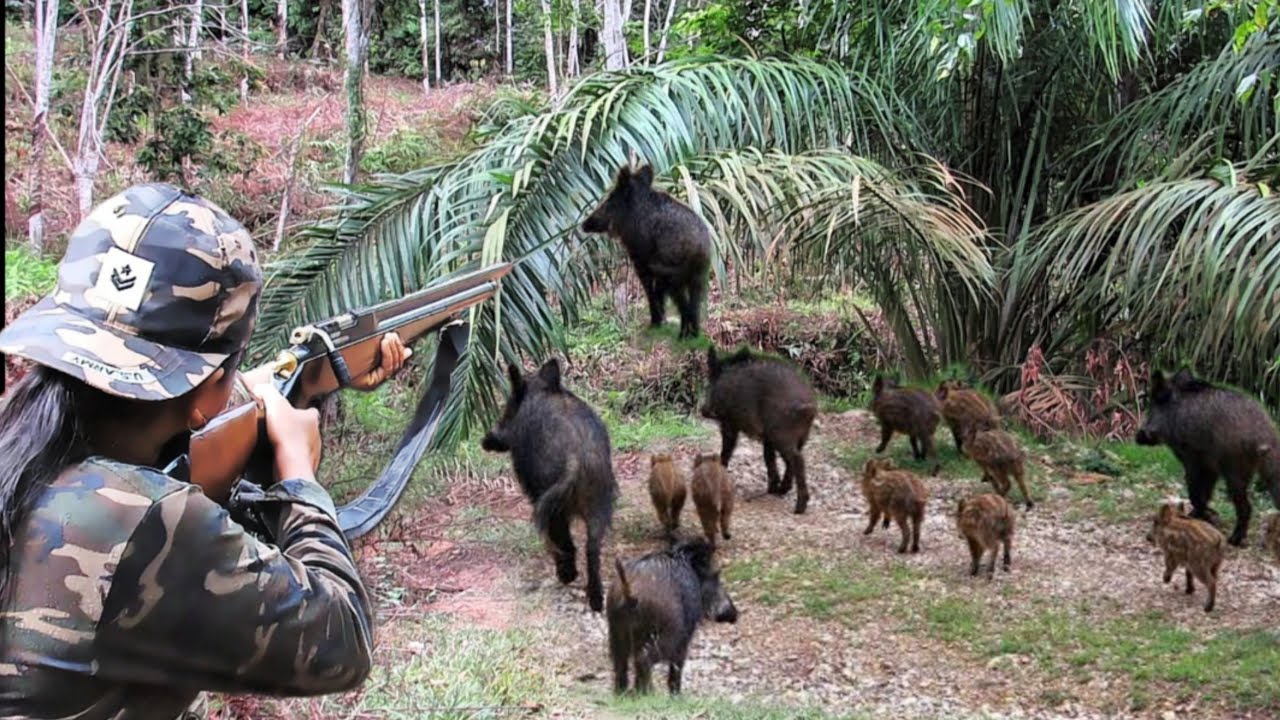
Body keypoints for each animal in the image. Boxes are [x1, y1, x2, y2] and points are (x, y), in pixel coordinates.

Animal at [481, 358, 617, 612]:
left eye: (508, 408)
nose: (484, 440)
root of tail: (576, 457)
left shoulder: (531, 486)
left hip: (551, 500)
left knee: (563, 539)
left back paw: (566, 577)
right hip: (600, 501)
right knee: (592, 548)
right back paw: (596, 601)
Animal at [581, 162, 713, 339]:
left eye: (610, 200)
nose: (584, 224)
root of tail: (699, 248)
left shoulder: (640, 260)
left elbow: (650, 291)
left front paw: (655, 324)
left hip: (674, 275)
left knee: (683, 305)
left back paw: (682, 336)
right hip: (699, 276)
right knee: (694, 306)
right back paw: (694, 334)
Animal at [607, 539, 739, 695]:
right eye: (716, 574)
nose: (734, 614)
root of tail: (629, 592)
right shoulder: (685, 637)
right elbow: (677, 667)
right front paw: (676, 696)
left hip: (616, 634)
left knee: (621, 666)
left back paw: (625, 693)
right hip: (668, 635)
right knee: (643, 659)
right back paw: (648, 693)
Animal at [699, 345, 818, 514]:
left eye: (710, 381)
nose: (703, 410)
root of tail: (807, 407)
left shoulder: (729, 422)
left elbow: (727, 450)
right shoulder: (766, 438)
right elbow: (768, 458)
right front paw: (772, 488)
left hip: (781, 435)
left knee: (797, 460)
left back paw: (798, 508)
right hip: (798, 437)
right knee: (792, 461)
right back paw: (781, 491)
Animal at [1135, 368, 1280, 546]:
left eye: (1154, 403)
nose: (1138, 436)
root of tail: (1264, 436)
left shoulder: (1193, 460)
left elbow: (1195, 493)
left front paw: (1206, 517)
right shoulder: (1211, 467)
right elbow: (1205, 493)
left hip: (1235, 470)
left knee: (1245, 506)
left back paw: (1233, 540)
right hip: (1269, 468)